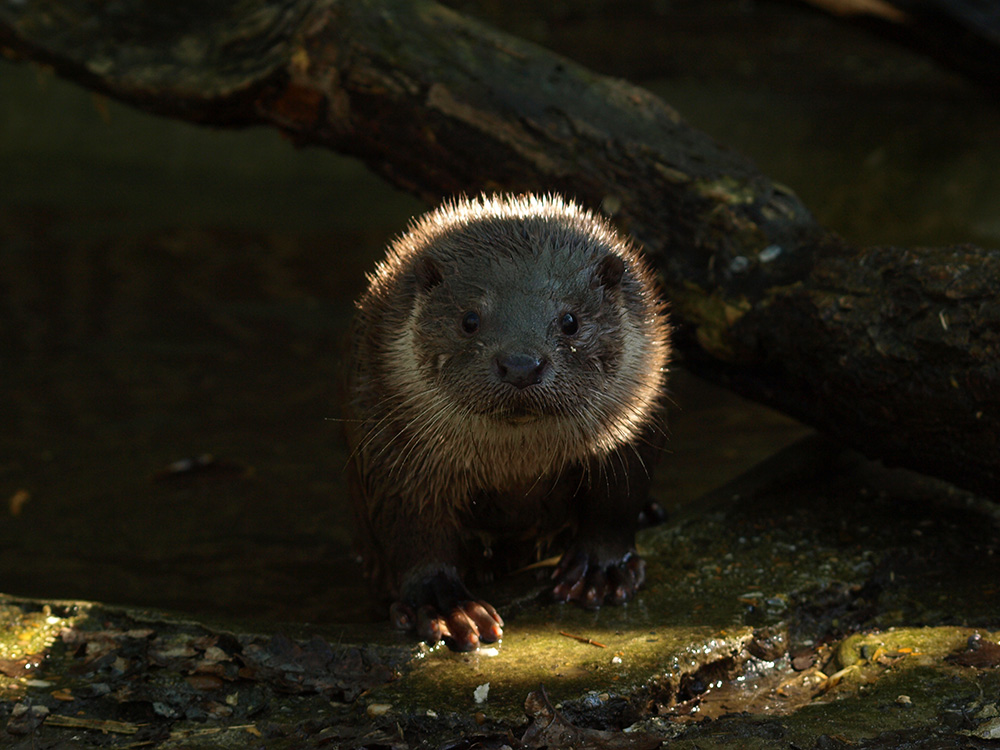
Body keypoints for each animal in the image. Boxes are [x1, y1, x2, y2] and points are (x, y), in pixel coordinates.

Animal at [346, 194, 672, 652]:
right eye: (469, 320)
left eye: (570, 321)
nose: (521, 364)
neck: (517, 470)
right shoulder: (391, 442)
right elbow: (412, 528)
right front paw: (445, 605)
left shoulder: (632, 421)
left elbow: (617, 497)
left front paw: (601, 571)